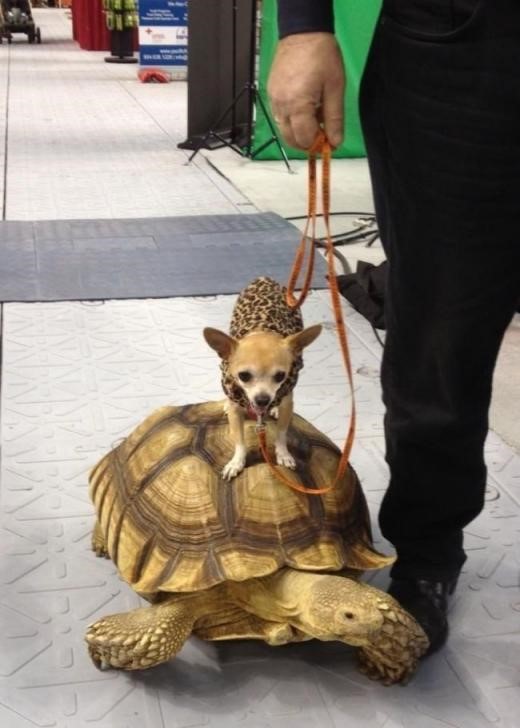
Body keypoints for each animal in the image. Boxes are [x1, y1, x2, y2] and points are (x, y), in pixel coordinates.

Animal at [203, 276, 320, 480]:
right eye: (243, 376)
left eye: (280, 376)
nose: (263, 399)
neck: (262, 329)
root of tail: (265, 278)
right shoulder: (236, 409)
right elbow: (239, 440)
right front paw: (236, 462)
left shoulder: (287, 402)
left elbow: (281, 433)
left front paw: (283, 454)